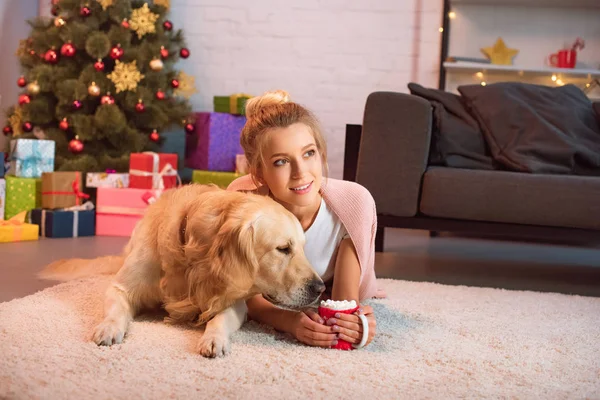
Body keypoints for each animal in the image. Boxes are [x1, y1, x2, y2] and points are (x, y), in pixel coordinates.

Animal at [39, 186, 326, 358]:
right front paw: (109, 328)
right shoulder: (120, 287)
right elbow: (116, 310)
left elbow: (219, 318)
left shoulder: (233, 299)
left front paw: (214, 339)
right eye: (283, 249)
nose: (320, 288)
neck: (193, 257)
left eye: (302, 247)